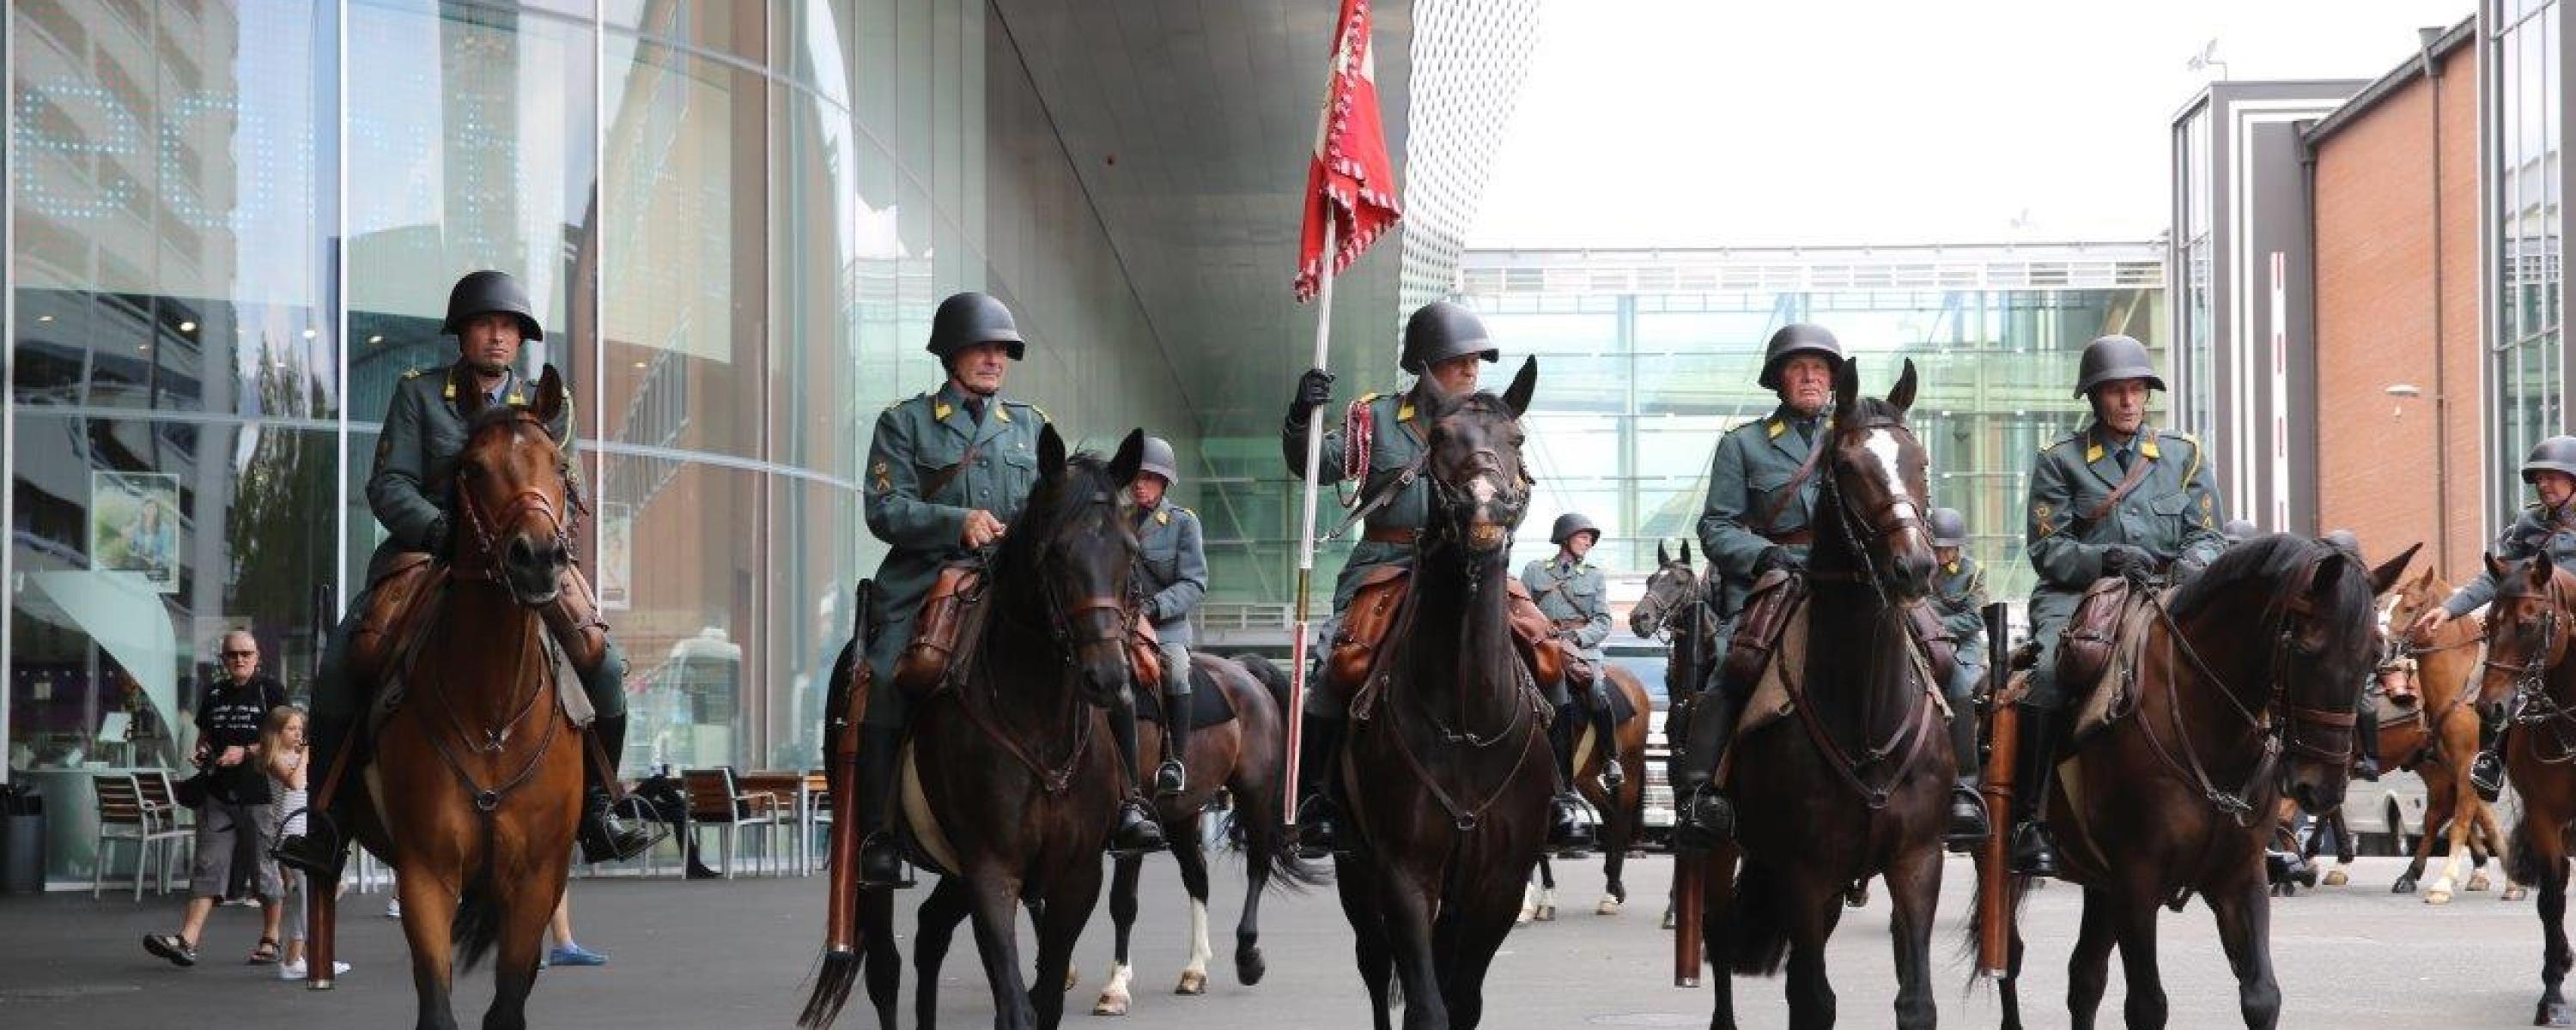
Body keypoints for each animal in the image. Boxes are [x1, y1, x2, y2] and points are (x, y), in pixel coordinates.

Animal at [1092, 651, 1329, 1015]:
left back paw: (1247, 956)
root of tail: (1242, 669)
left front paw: (1116, 986)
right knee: (1197, 876)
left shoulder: (1132, 832)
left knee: (1257, 865)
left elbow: (1122, 903)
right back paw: (1195, 970)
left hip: (1254, 795)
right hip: (1183, 811)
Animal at [1329, 355, 1546, 1030]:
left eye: (1516, 439)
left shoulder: (1498, 884)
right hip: (1356, 870)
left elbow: (1462, 1002)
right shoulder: (1404, 873)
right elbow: (1427, 1006)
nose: (1484, 508)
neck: (1468, 720)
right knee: (1374, 968)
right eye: (1441, 439)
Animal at [1700, 355, 1937, 1030]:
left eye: (1919, 461)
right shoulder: (1803, 872)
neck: (1865, 713)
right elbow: (1812, 1002)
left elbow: (1915, 1000)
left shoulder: (1918, 860)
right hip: (1722, 852)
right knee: (1719, 938)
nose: (1915, 568)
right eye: (1849, 467)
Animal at [1968, 536, 2411, 1030]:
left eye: (2375, 653)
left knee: (2085, 978)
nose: (2323, 788)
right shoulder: (2137, 883)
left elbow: (2261, 997)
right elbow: (2147, 1005)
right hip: (2004, 866)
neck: (2210, 731)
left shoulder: (2239, 876)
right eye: (2308, 649)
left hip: (2099, 883)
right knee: (2010, 957)